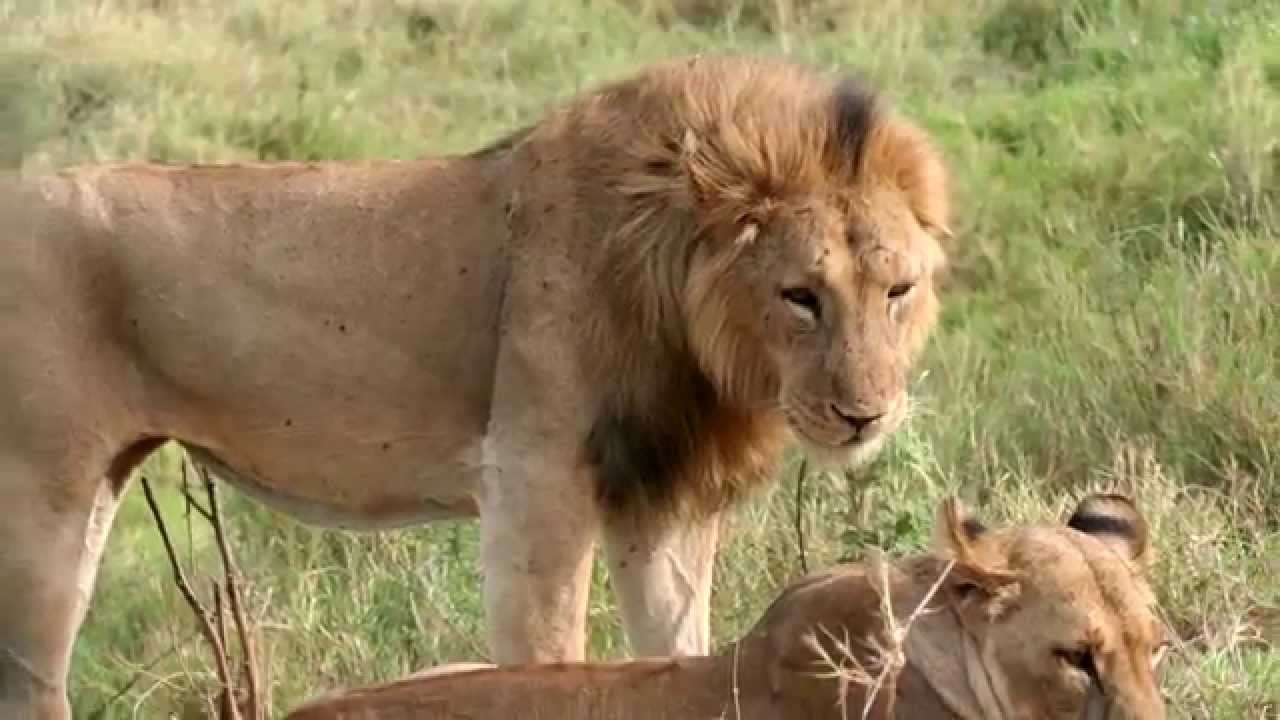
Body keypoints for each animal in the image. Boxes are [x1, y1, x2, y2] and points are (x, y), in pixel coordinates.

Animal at [0, 54, 952, 718]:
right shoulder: (535, 483)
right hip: (42, 502)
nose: (864, 414)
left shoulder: (663, 503)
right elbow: (550, 657)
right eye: (801, 295)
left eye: (897, 291)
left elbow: (685, 646)